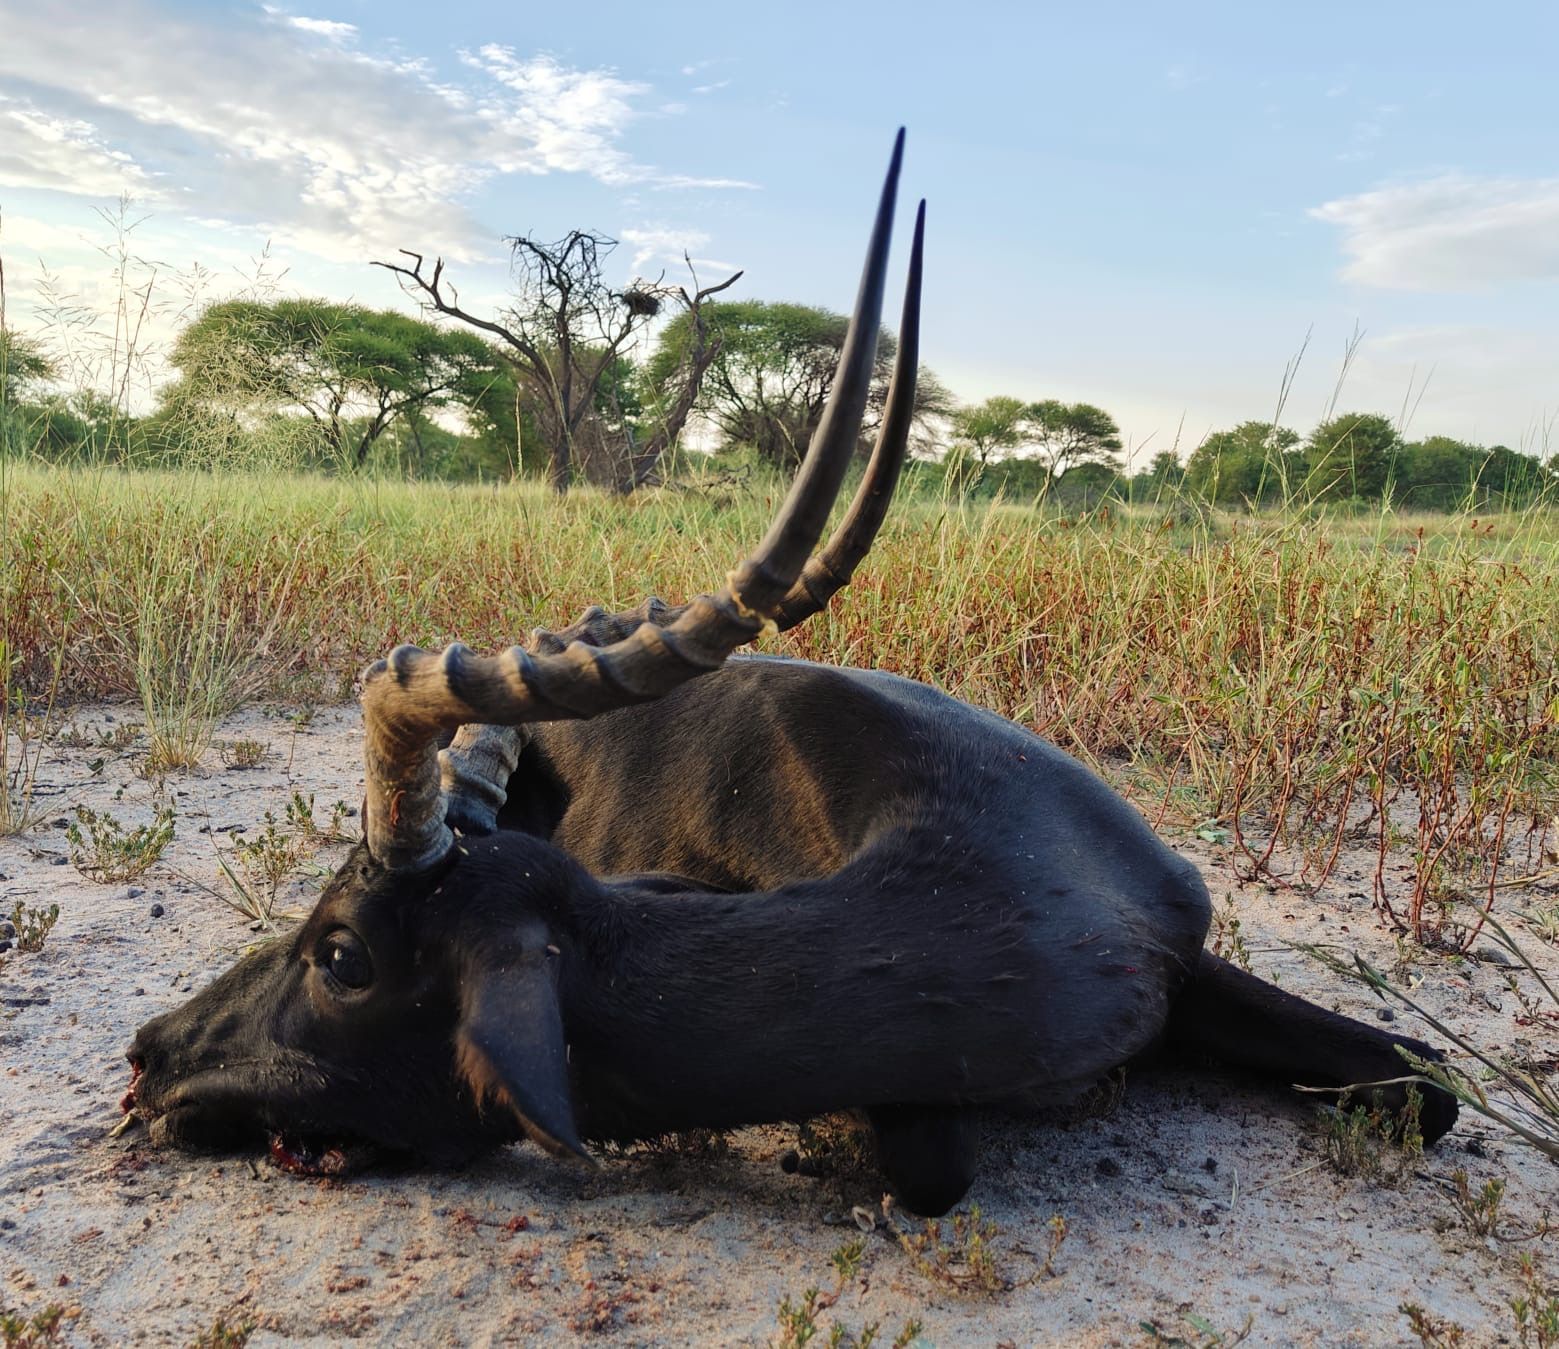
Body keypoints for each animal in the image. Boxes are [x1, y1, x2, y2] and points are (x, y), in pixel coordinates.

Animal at [124, 134, 1455, 1215]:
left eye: (342, 950)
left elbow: (1429, 1085)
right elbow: (927, 1161)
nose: (148, 1053)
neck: (1014, 884)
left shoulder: (1188, 952)